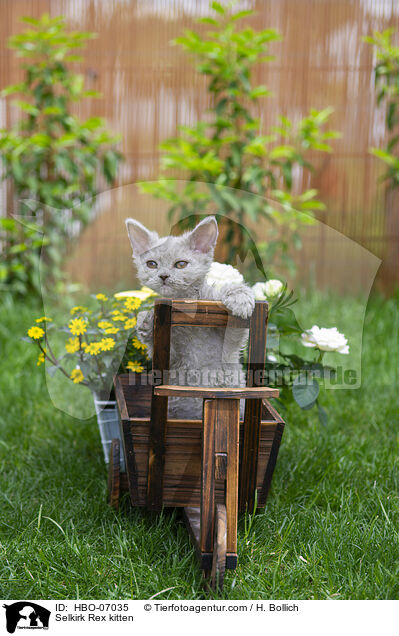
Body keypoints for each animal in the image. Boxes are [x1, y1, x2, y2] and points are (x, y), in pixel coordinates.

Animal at [126, 216, 255, 420]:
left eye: (181, 264)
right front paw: (146, 321)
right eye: (151, 264)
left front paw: (240, 299)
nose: (163, 275)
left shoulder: (229, 348)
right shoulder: (172, 357)